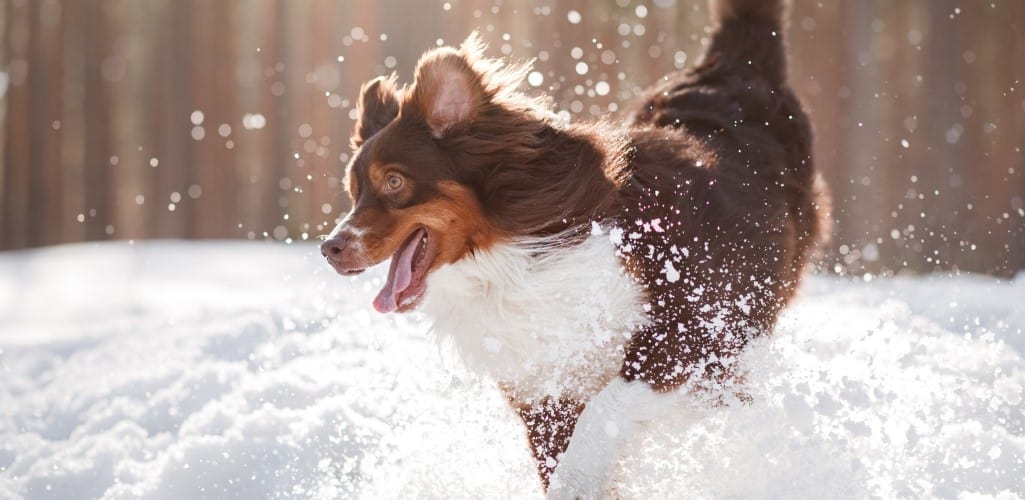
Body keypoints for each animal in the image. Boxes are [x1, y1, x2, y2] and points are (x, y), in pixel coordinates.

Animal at [323, 0, 828, 495]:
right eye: (353, 190)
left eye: (393, 182)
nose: (330, 248)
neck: (516, 257)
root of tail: (731, 65)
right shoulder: (544, 387)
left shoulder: (691, 330)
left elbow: (605, 414)